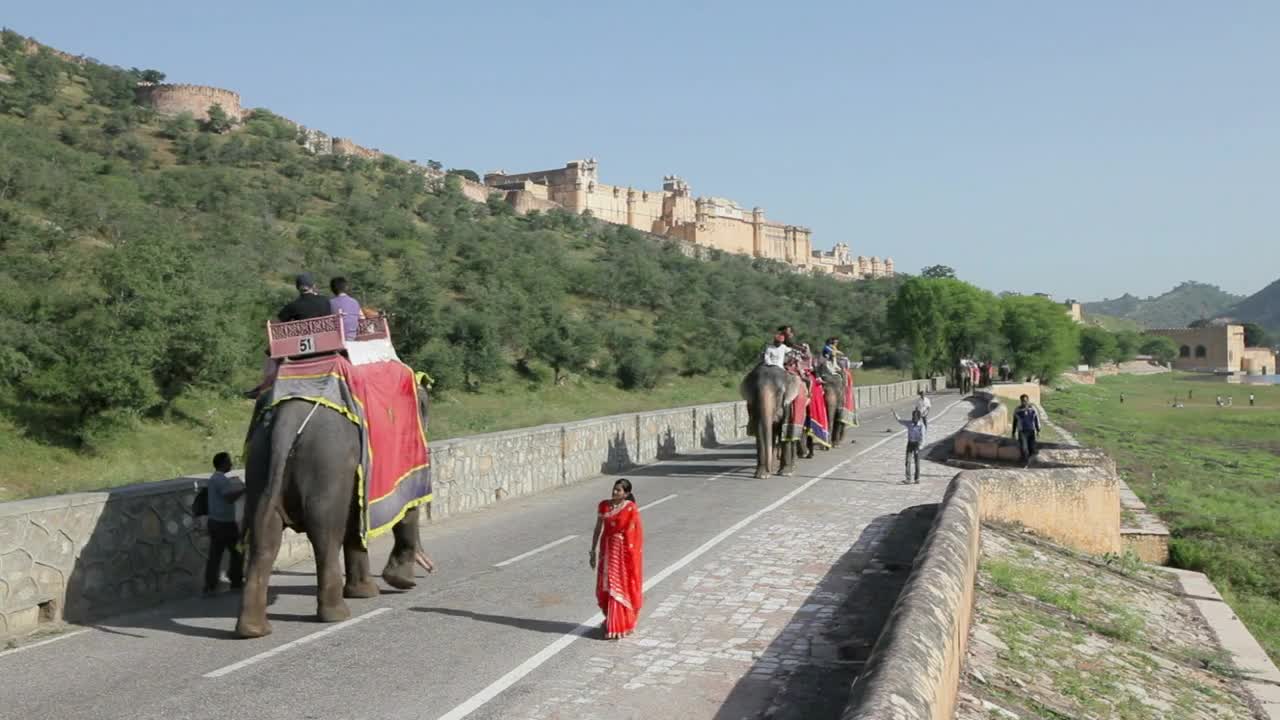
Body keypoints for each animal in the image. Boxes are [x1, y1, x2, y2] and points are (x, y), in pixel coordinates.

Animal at [238, 384, 437, 635]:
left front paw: (366, 592)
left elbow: (356, 523)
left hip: (259, 464)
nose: (430, 568)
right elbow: (407, 502)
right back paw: (336, 615)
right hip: (327, 465)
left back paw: (253, 630)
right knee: (325, 534)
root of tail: (286, 418)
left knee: (264, 537)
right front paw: (400, 582)